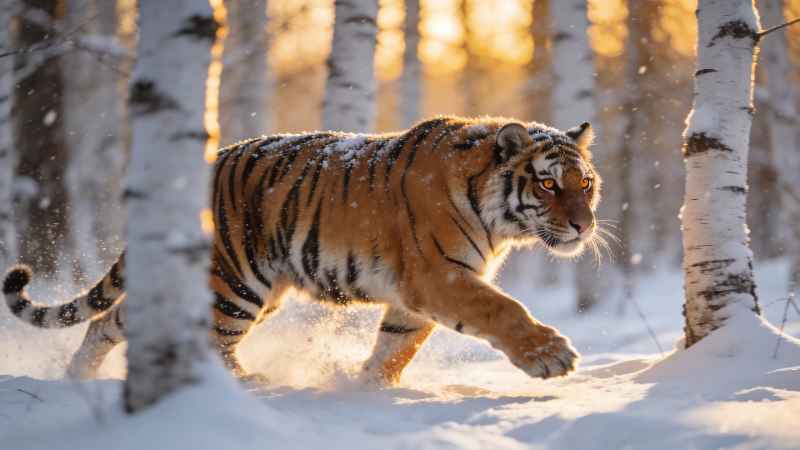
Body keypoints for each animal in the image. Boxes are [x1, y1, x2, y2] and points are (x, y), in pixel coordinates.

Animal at [3, 115, 602, 385]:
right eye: (549, 185)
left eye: (586, 183)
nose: (583, 225)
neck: (498, 219)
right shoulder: (440, 276)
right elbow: (502, 309)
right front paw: (552, 356)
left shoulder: (414, 298)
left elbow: (395, 348)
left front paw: (365, 390)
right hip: (233, 285)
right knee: (211, 343)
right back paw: (252, 383)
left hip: (250, 290)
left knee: (110, 320)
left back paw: (76, 378)